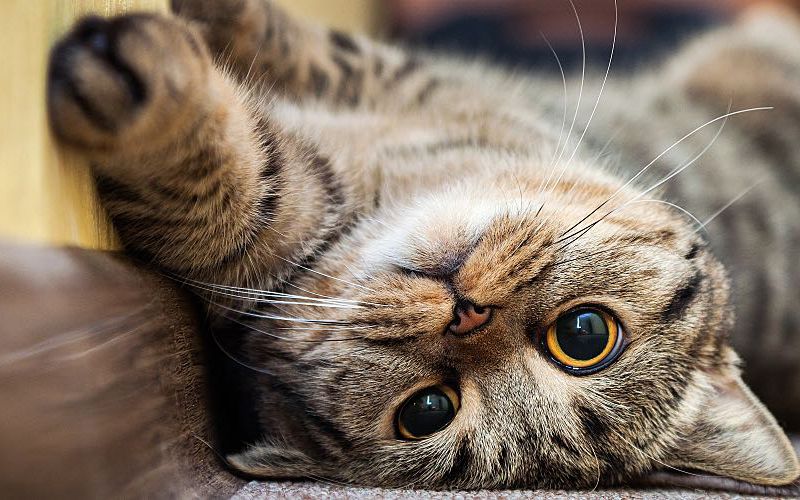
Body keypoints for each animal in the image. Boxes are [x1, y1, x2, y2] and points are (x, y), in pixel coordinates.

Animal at [47, 0, 800, 492]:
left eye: (427, 412)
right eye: (586, 335)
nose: (467, 312)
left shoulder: (287, 231)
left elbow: (239, 186)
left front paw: (149, 100)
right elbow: (292, 38)